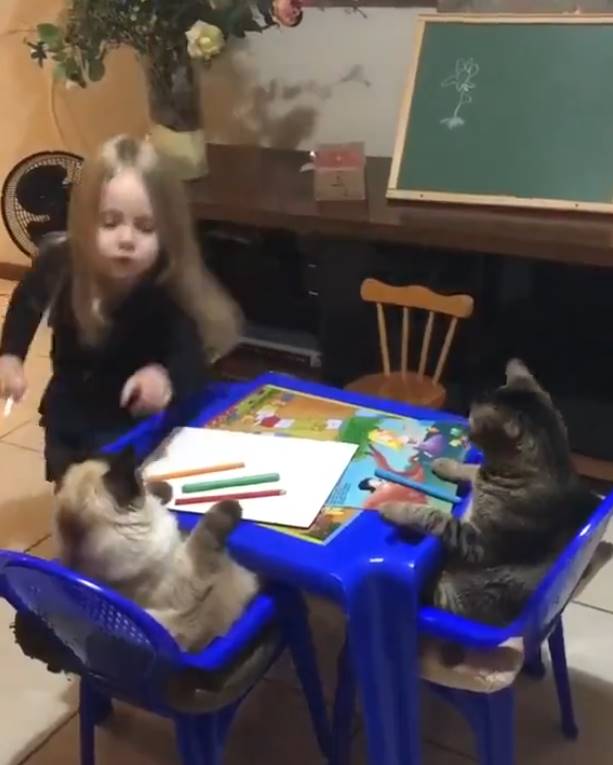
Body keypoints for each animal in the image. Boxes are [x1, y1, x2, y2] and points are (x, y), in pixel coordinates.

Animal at [53, 448, 260, 652]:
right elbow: (206, 528)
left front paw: (164, 488)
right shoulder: (191, 576)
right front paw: (232, 504)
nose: (142, 477)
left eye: (140, 479)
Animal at [380, 362, 596, 624]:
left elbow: (433, 516)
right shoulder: (480, 477)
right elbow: (469, 469)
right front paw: (445, 464)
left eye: (473, 421)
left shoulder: (474, 541)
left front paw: (392, 507)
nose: (465, 429)